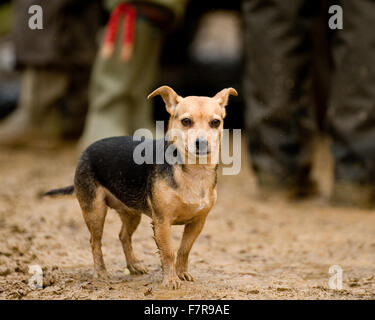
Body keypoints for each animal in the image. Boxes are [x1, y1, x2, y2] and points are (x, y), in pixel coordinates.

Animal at [44, 86, 238, 288]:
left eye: (215, 122)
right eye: (186, 121)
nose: (202, 143)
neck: (193, 172)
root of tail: (87, 150)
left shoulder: (197, 222)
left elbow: (184, 249)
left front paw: (181, 272)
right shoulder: (162, 222)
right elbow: (168, 252)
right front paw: (170, 279)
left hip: (131, 214)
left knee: (123, 236)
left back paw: (133, 265)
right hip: (95, 211)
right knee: (95, 241)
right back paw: (101, 271)